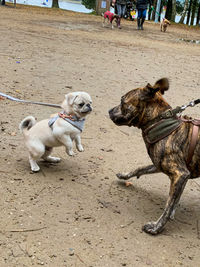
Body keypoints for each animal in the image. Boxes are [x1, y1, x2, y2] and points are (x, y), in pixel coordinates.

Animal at [108, 78, 200, 236]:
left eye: (122, 101)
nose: (109, 111)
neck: (160, 123)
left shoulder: (180, 174)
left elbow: (168, 207)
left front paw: (157, 227)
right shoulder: (159, 166)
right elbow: (140, 168)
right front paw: (125, 175)